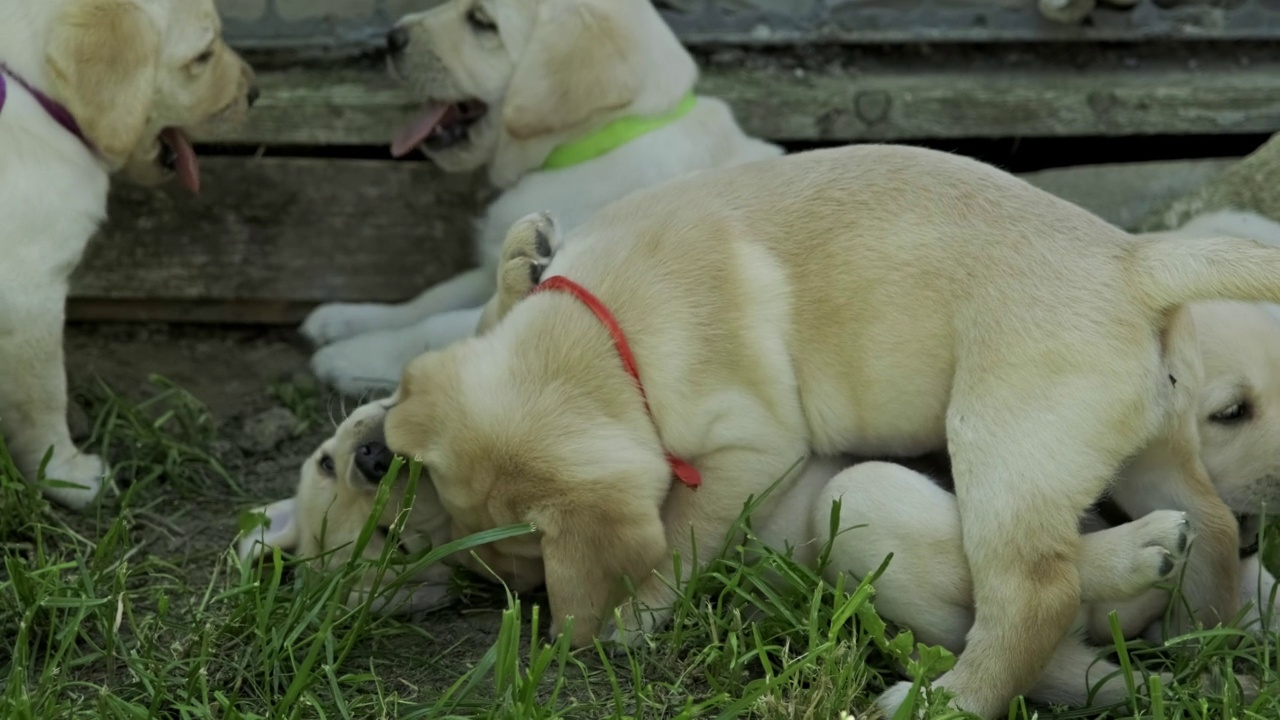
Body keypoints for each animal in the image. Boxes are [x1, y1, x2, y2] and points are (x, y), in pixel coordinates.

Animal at [299, 0, 778, 394]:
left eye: (481, 20)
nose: (391, 37)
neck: (595, 142)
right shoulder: (507, 259)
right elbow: (432, 297)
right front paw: (344, 318)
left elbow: (435, 327)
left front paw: (350, 356)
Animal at [378, 142, 1280, 712]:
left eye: (530, 560)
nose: (519, 595)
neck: (608, 332)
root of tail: (1133, 260)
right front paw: (521, 259)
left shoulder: (752, 449)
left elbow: (681, 535)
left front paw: (633, 615)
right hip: (1140, 448)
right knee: (1206, 522)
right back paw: (1194, 638)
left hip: (1001, 443)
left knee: (1033, 590)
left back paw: (949, 700)